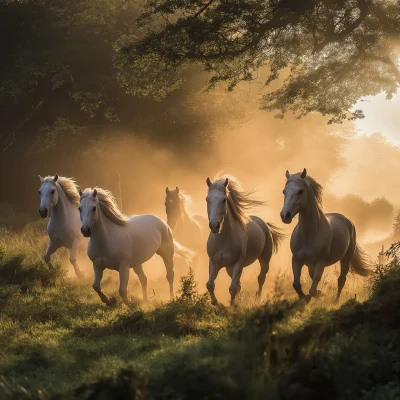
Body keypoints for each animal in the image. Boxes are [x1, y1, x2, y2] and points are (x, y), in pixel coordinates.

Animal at [206, 176, 284, 306]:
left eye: (224, 200)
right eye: (207, 199)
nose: (214, 226)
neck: (224, 240)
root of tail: (264, 224)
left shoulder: (238, 263)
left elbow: (232, 288)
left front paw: (231, 306)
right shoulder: (214, 262)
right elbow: (210, 285)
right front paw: (217, 303)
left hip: (264, 259)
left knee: (261, 278)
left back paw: (258, 299)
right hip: (229, 268)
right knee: (240, 285)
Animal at [282, 169, 372, 304]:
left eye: (300, 191)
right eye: (284, 191)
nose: (285, 215)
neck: (309, 235)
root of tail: (348, 221)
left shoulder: (321, 262)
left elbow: (312, 290)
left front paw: (319, 294)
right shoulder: (297, 260)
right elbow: (297, 285)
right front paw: (306, 298)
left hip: (346, 258)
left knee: (341, 280)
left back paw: (335, 301)